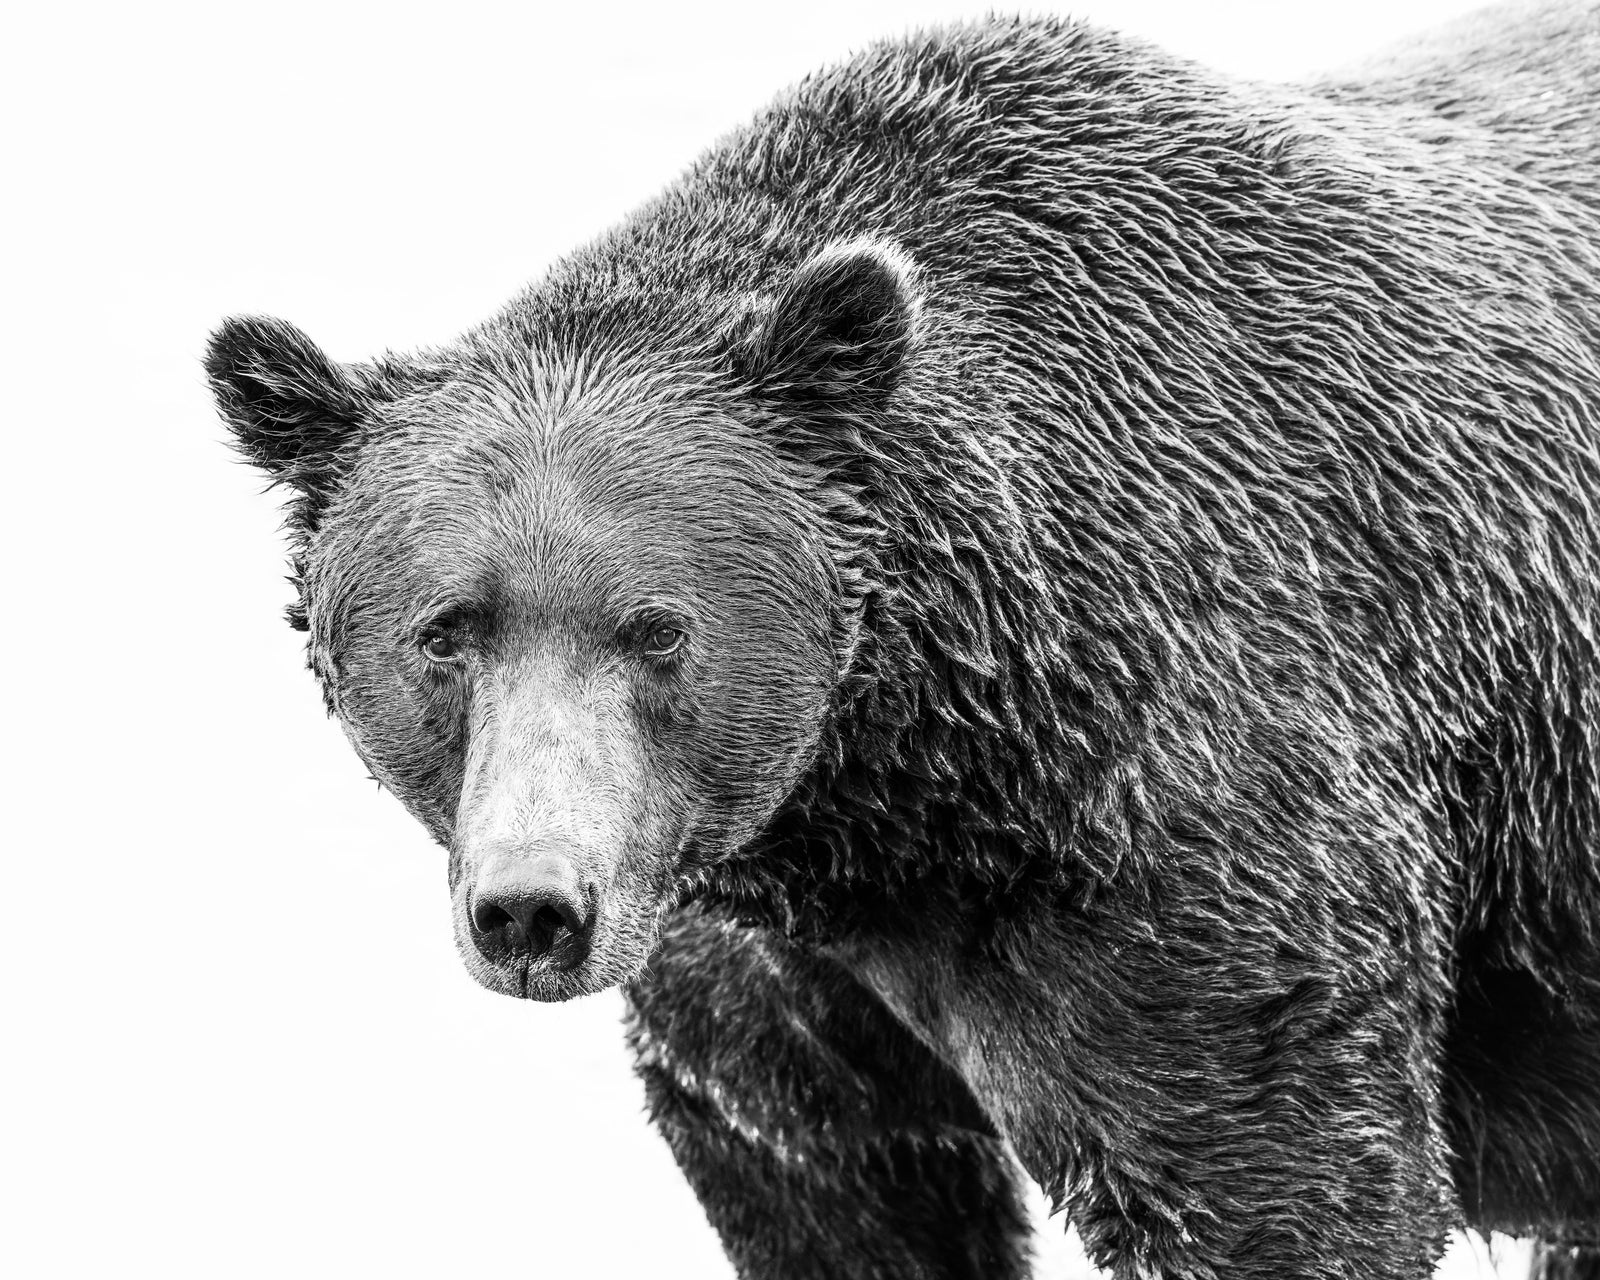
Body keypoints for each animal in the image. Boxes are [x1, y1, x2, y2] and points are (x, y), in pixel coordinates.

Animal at [206, 2, 1600, 1277]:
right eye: (448, 630)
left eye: (657, 628)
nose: (532, 909)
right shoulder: (752, 958)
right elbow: (837, 1180)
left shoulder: (1197, 829)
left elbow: (1274, 1173)